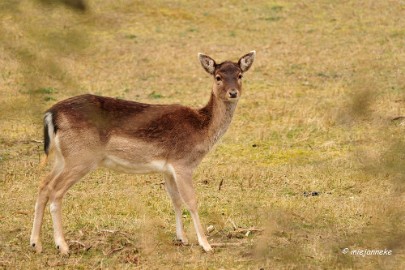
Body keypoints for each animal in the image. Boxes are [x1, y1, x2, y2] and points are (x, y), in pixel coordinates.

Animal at [29, 51, 256, 254]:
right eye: (218, 77)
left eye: (240, 75)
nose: (233, 92)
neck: (201, 131)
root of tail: (51, 114)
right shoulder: (183, 163)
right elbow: (191, 201)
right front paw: (206, 245)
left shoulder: (168, 168)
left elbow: (175, 200)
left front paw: (181, 238)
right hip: (81, 157)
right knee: (56, 191)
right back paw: (63, 246)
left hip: (62, 157)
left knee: (43, 184)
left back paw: (35, 244)